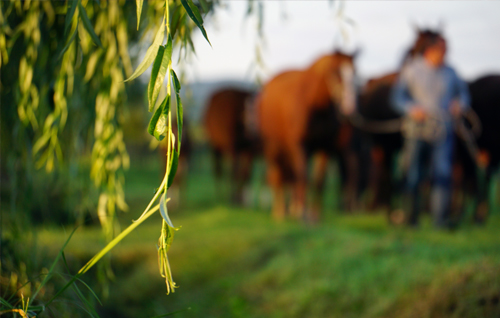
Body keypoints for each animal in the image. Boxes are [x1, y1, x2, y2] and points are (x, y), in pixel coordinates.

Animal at [256, 51, 358, 221]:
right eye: (334, 72)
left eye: (354, 72)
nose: (349, 106)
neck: (315, 103)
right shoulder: (299, 145)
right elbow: (303, 176)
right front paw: (302, 213)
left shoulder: (324, 147)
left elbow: (318, 180)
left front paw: (315, 215)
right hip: (273, 147)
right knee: (278, 175)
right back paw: (280, 211)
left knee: (291, 176)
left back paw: (292, 207)